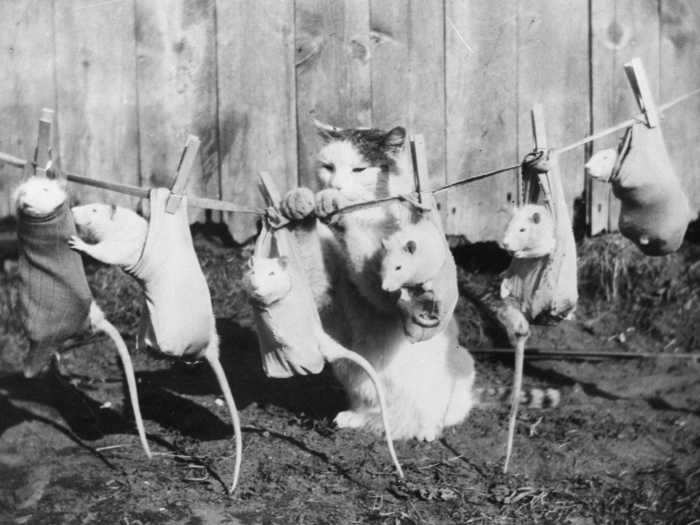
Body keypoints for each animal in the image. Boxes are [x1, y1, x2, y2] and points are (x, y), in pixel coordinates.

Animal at [280, 122, 476, 438]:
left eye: (359, 169)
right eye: (328, 167)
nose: (335, 187)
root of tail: (397, 428)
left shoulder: (393, 293)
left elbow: (370, 268)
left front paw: (338, 207)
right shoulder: (323, 292)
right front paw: (299, 203)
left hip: (458, 369)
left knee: (441, 414)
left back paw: (426, 431)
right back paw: (358, 418)